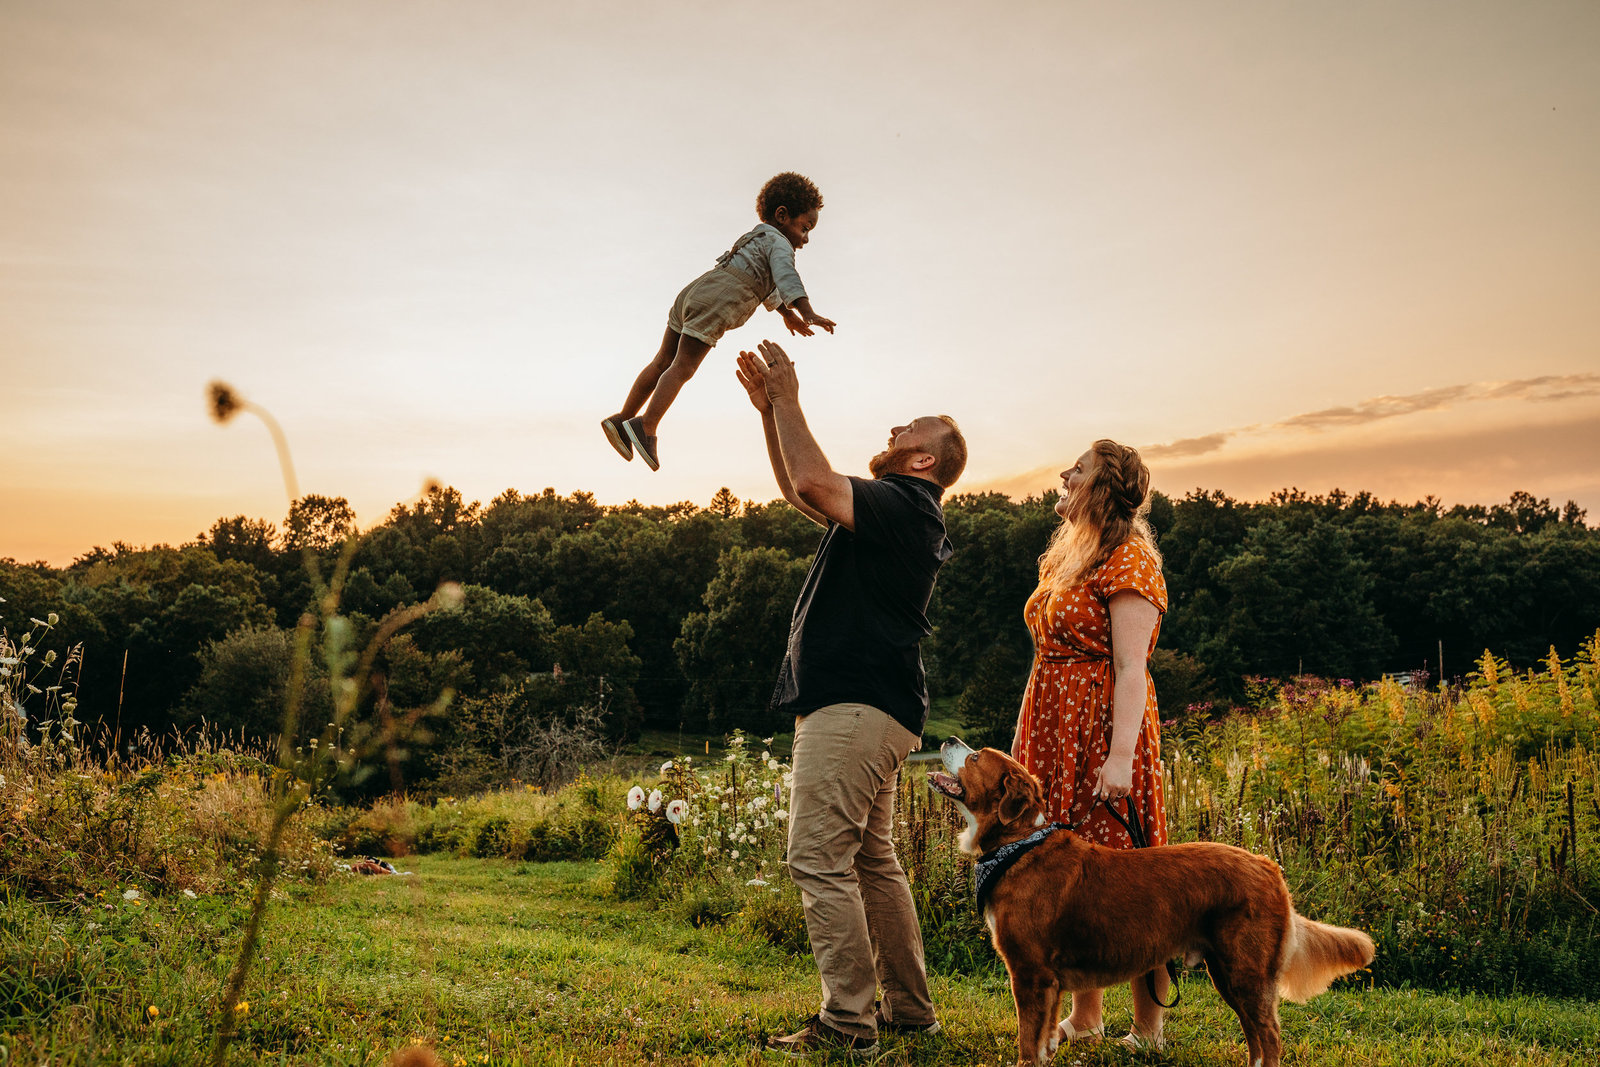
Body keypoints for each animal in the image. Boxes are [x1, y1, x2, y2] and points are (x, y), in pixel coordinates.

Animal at [928, 742, 1376, 1067]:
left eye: (974, 757)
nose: (948, 739)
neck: (1017, 845)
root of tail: (1269, 866)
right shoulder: (1047, 980)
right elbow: (1043, 1041)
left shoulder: (1029, 972)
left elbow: (1027, 1040)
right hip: (1227, 972)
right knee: (1257, 1036)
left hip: (1246, 971)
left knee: (1269, 1036)